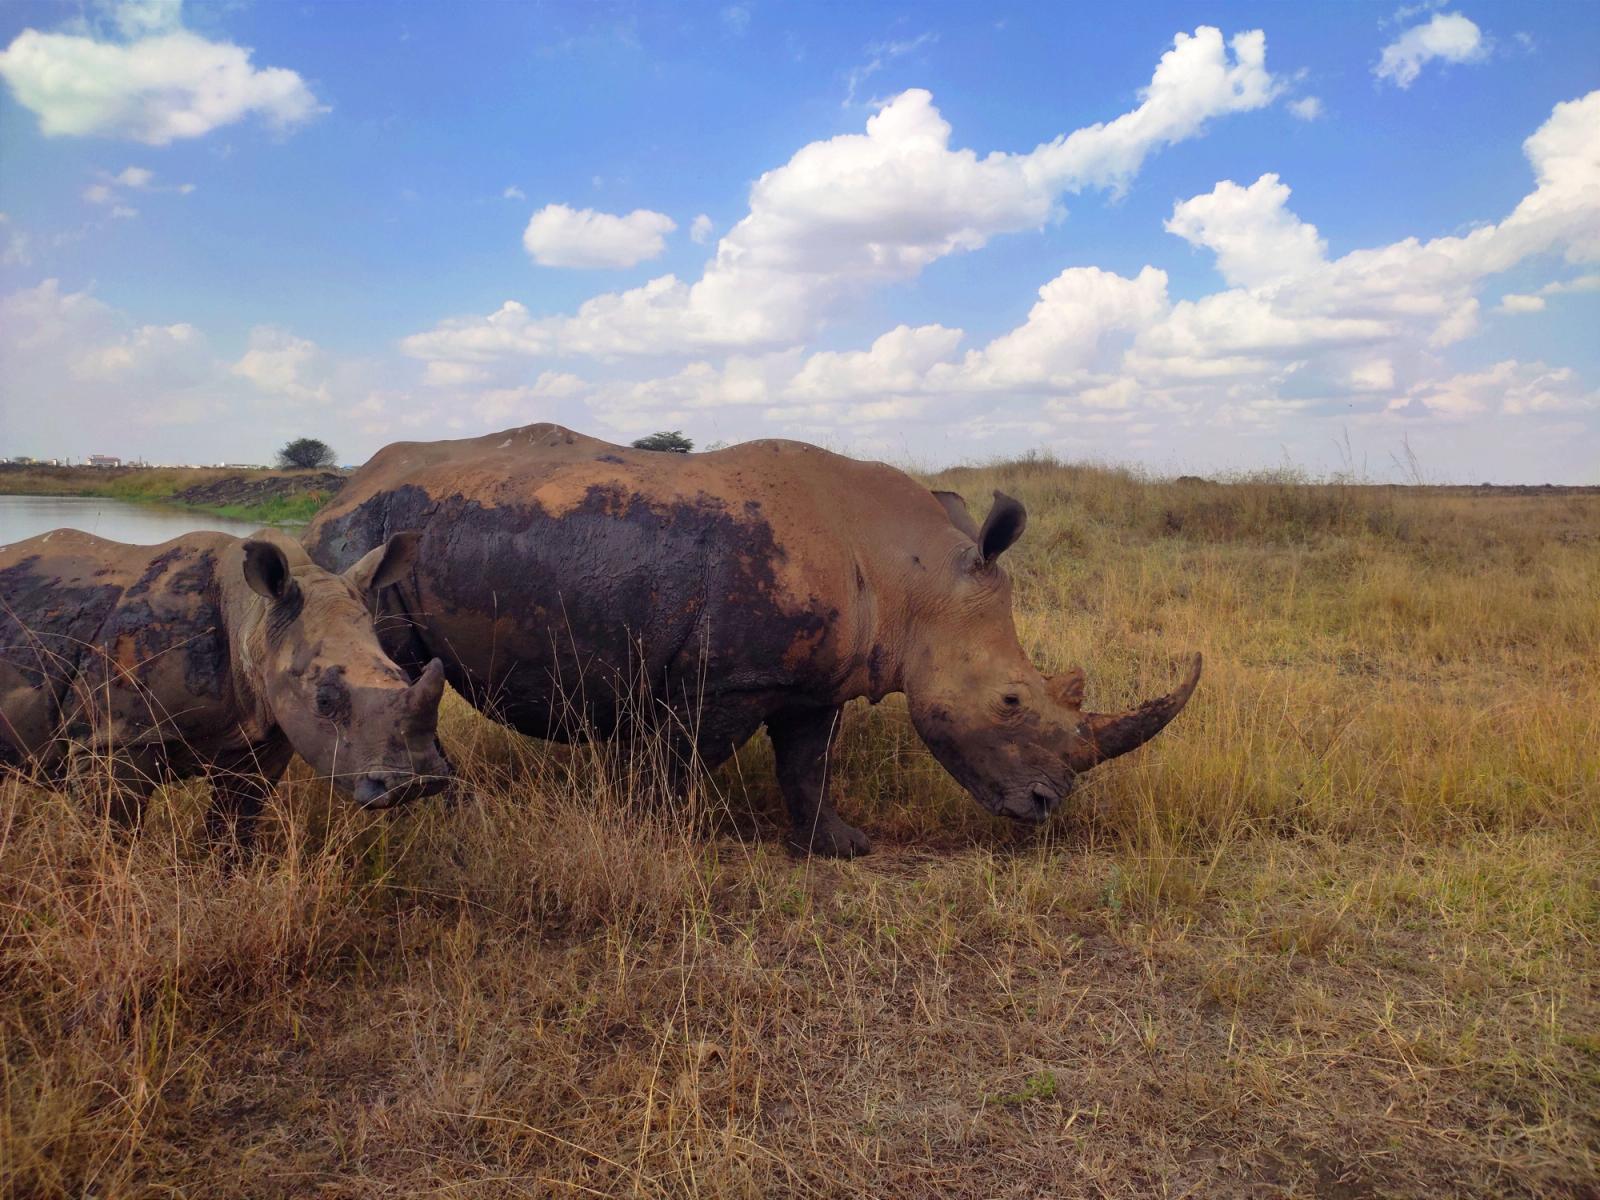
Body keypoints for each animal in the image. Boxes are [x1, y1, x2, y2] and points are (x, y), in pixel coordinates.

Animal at [0, 527, 451, 842]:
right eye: (324, 700)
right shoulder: (114, 736)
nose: (416, 781)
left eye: (403, 676)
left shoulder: (261, 735)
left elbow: (235, 829)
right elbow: (110, 834)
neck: (255, 621)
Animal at [303, 423, 1200, 857]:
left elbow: (807, 764)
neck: (914, 578)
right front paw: (652, 839)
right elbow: (679, 767)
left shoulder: (819, 680)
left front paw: (840, 850)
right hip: (363, 550)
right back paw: (446, 810)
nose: (1046, 808)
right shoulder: (728, 680)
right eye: (1012, 700)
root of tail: (336, 494)